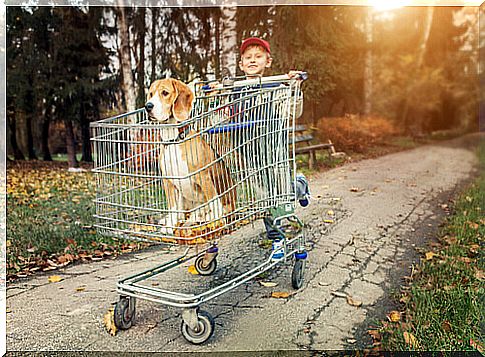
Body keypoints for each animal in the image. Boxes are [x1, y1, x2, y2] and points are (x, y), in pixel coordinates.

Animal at [144, 78, 234, 235]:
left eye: (165, 93)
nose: (148, 106)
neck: (173, 141)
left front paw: (218, 222)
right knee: (185, 214)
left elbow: (214, 202)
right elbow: (172, 208)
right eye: (151, 94)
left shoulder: (203, 178)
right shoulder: (168, 181)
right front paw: (170, 226)